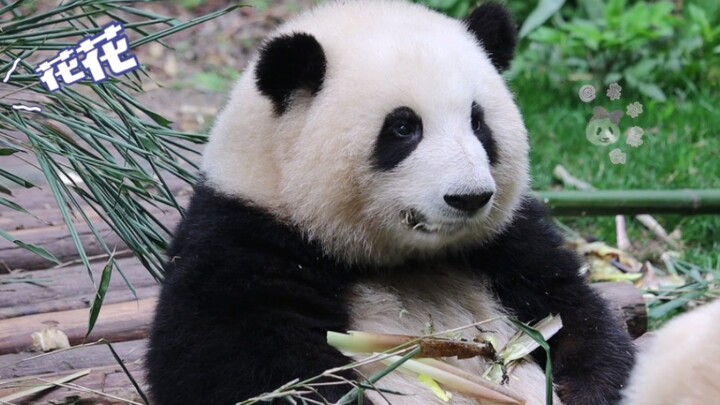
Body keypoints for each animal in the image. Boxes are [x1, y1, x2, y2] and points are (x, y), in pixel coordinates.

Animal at [146, 1, 635, 404]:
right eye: (403, 128)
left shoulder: (509, 242)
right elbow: (234, 366)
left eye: (478, 122)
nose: (470, 197)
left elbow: (577, 313)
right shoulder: (245, 236)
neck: (402, 260)